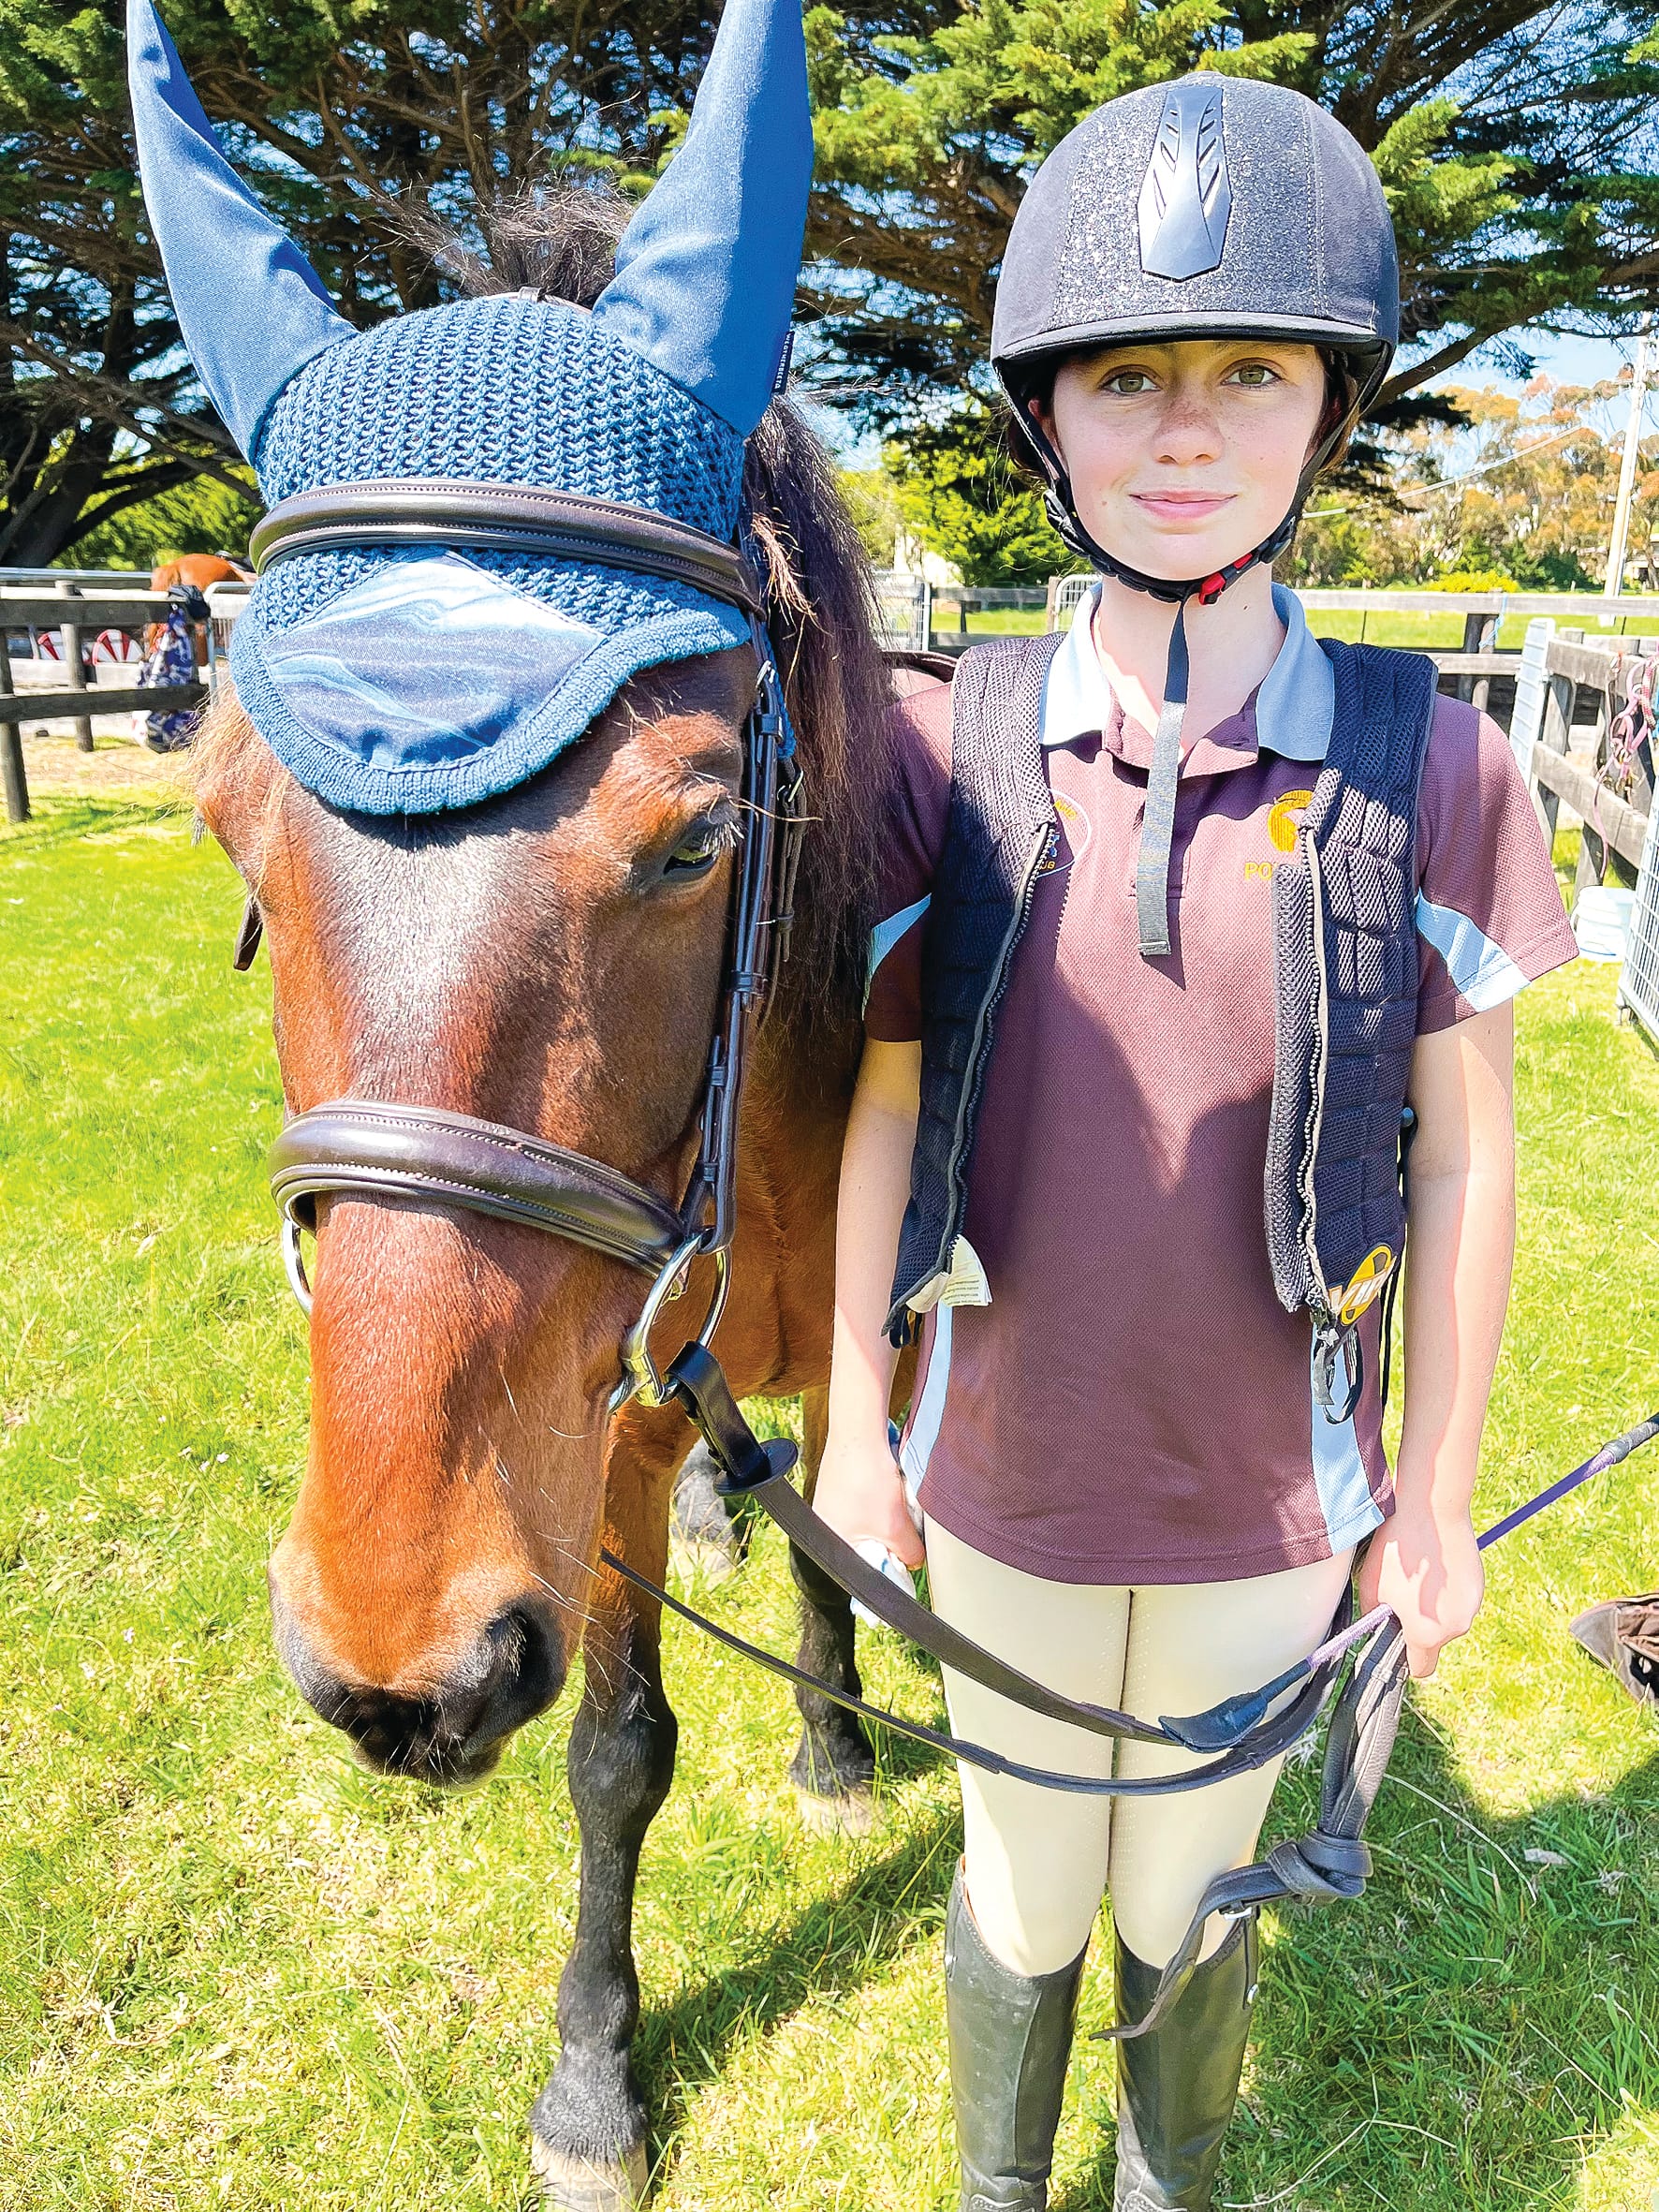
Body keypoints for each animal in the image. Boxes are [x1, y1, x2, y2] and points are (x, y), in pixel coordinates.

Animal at [191, 186, 921, 2211]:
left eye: (697, 835)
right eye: (226, 829)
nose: (398, 1666)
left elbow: (852, 1534)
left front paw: (837, 1732)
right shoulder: (604, 1431)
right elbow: (618, 1743)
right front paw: (595, 2075)